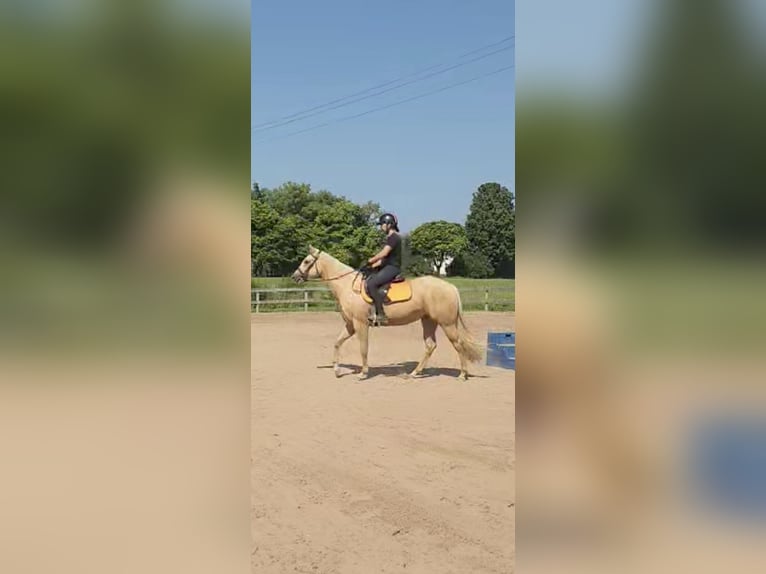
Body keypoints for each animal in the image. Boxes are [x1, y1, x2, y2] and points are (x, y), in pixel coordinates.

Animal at [292, 245, 484, 380]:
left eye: (307, 261)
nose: (295, 277)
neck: (348, 285)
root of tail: (451, 287)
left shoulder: (361, 324)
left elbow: (363, 348)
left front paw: (363, 373)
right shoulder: (350, 325)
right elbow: (337, 343)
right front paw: (337, 370)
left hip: (447, 324)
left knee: (458, 344)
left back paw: (462, 375)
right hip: (429, 321)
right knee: (430, 345)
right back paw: (415, 373)